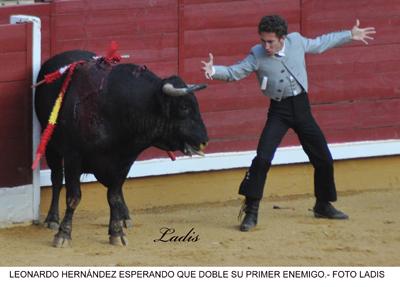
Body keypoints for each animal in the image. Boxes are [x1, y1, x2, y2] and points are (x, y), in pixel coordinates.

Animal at [34, 51, 208, 248]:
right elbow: (73, 196)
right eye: (184, 107)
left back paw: (124, 216)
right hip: (51, 146)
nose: (204, 140)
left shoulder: (124, 161)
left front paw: (116, 232)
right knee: (56, 178)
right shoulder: (73, 156)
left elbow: (114, 196)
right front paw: (63, 234)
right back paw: (52, 219)